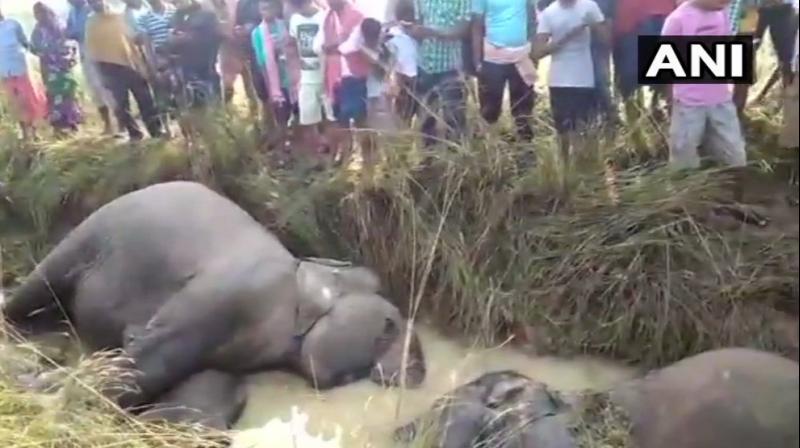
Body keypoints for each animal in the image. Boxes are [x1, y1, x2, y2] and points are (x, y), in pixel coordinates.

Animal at [0, 181, 428, 428]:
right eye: (389, 325)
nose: (418, 372)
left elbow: (212, 390)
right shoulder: (234, 290)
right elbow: (147, 354)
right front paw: (40, 391)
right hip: (87, 235)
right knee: (35, 289)